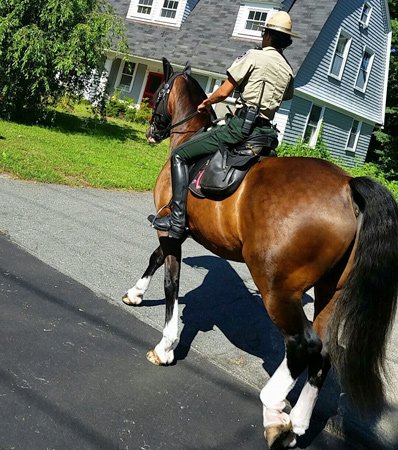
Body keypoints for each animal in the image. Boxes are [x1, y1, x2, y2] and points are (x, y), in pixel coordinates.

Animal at [123, 59, 396, 450]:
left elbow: (170, 280)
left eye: (159, 92)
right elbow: (155, 260)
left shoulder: (170, 227)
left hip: (277, 288)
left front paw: (165, 346)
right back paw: (297, 423)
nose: (151, 129)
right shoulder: (177, 230)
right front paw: (135, 293)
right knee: (323, 352)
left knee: (302, 345)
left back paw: (275, 411)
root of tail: (348, 186)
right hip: (330, 290)